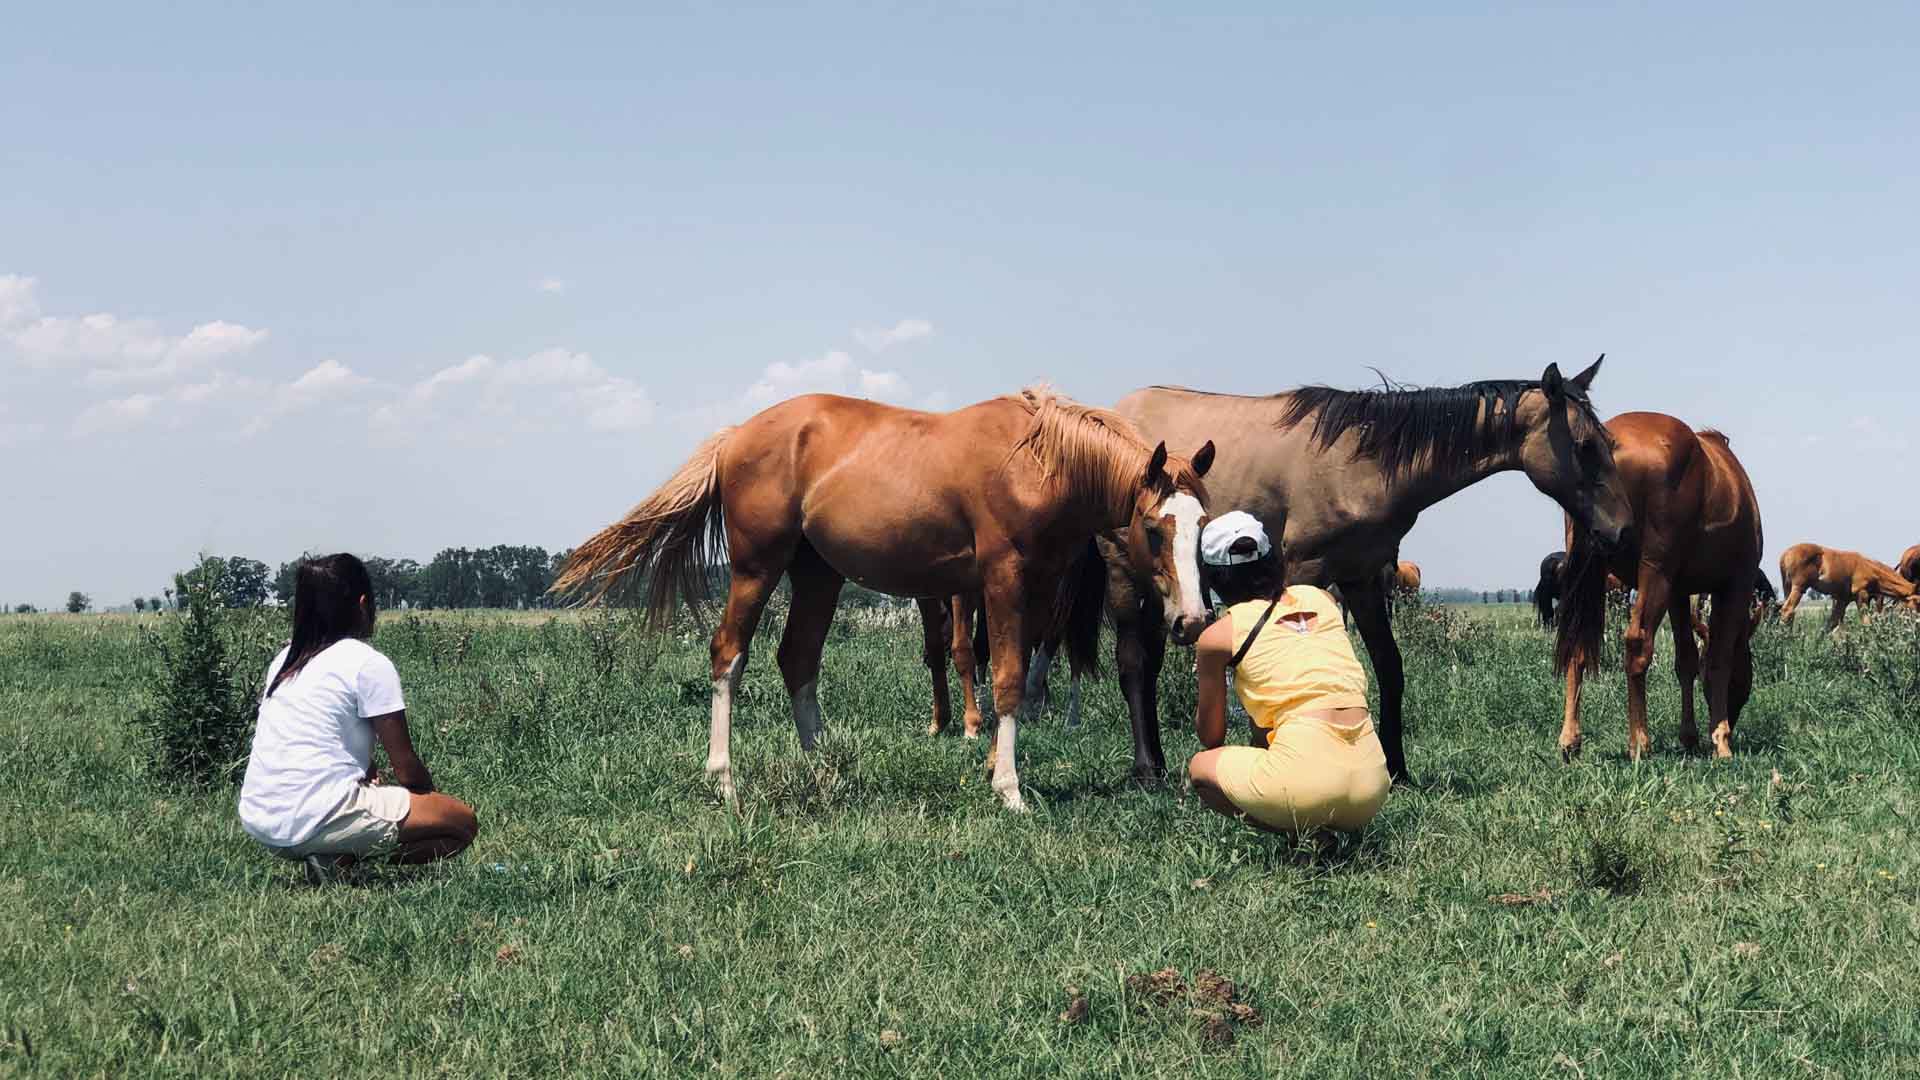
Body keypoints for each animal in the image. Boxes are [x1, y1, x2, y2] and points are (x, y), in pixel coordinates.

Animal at [552, 387, 1214, 812]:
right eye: (1154, 528)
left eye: (1202, 522)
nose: (1191, 620)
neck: (1037, 461)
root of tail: (735, 437)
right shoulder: (1001, 580)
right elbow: (1005, 679)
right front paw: (1010, 791)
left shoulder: (1039, 588)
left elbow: (1021, 678)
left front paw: (993, 766)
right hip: (755, 569)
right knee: (728, 655)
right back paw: (724, 781)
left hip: (818, 575)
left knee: (797, 659)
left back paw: (824, 768)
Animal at [1110, 356, 1631, 784]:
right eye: (1585, 446)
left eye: (1606, 442)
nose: (1623, 531)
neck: (1364, 463)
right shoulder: (1306, 574)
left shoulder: (1361, 579)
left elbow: (1389, 666)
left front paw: (1396, 767)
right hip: (1125, 574)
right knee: (1134, 663)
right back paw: (1146, 769)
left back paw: (1157, 762)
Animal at [1556, 418, 1763, 760]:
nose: (1733, 715)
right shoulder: (1735, 585)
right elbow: (1718, 659)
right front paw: (1720, 739)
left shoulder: (1678, 592)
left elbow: (1687, 661)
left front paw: (1689, 736)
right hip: (1655, 572)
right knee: (1638, 644)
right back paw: (1640, 742)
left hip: (1590, 578)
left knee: (1577, 646)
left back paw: (1570, 740)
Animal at [1777, 543, 1920, 630]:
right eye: (1917, 602)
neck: (1870, 569)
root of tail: (1785, 554)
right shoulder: (1862, 596)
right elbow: (1866, 623)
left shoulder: (1843, 600)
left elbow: (1831, 624)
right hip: (1799, 588)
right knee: (1787, 610)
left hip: (1788, 587)